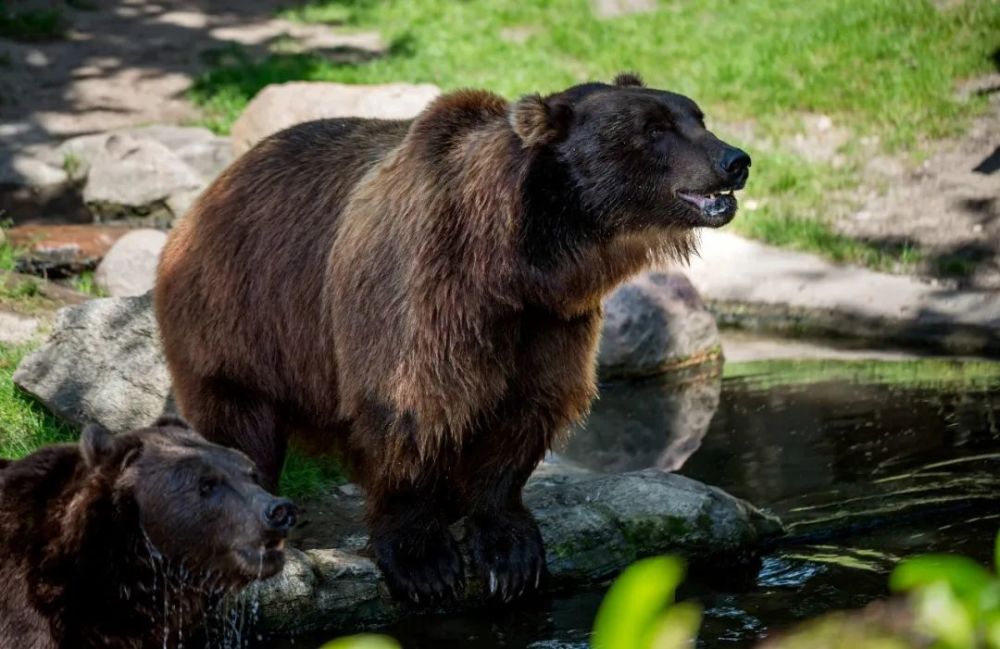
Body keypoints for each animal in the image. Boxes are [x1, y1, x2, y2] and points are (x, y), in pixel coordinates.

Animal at [156, 72, 752, 604]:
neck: (517, 262)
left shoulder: (550, 322)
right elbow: (409, 410)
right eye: (654, 128)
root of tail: (211, 190)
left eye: (696, 117)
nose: (735, 160)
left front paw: (510, 553)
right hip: (243, 312)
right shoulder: (423, 287)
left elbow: (525, 411)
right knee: (240, 422)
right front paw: (425, 562)